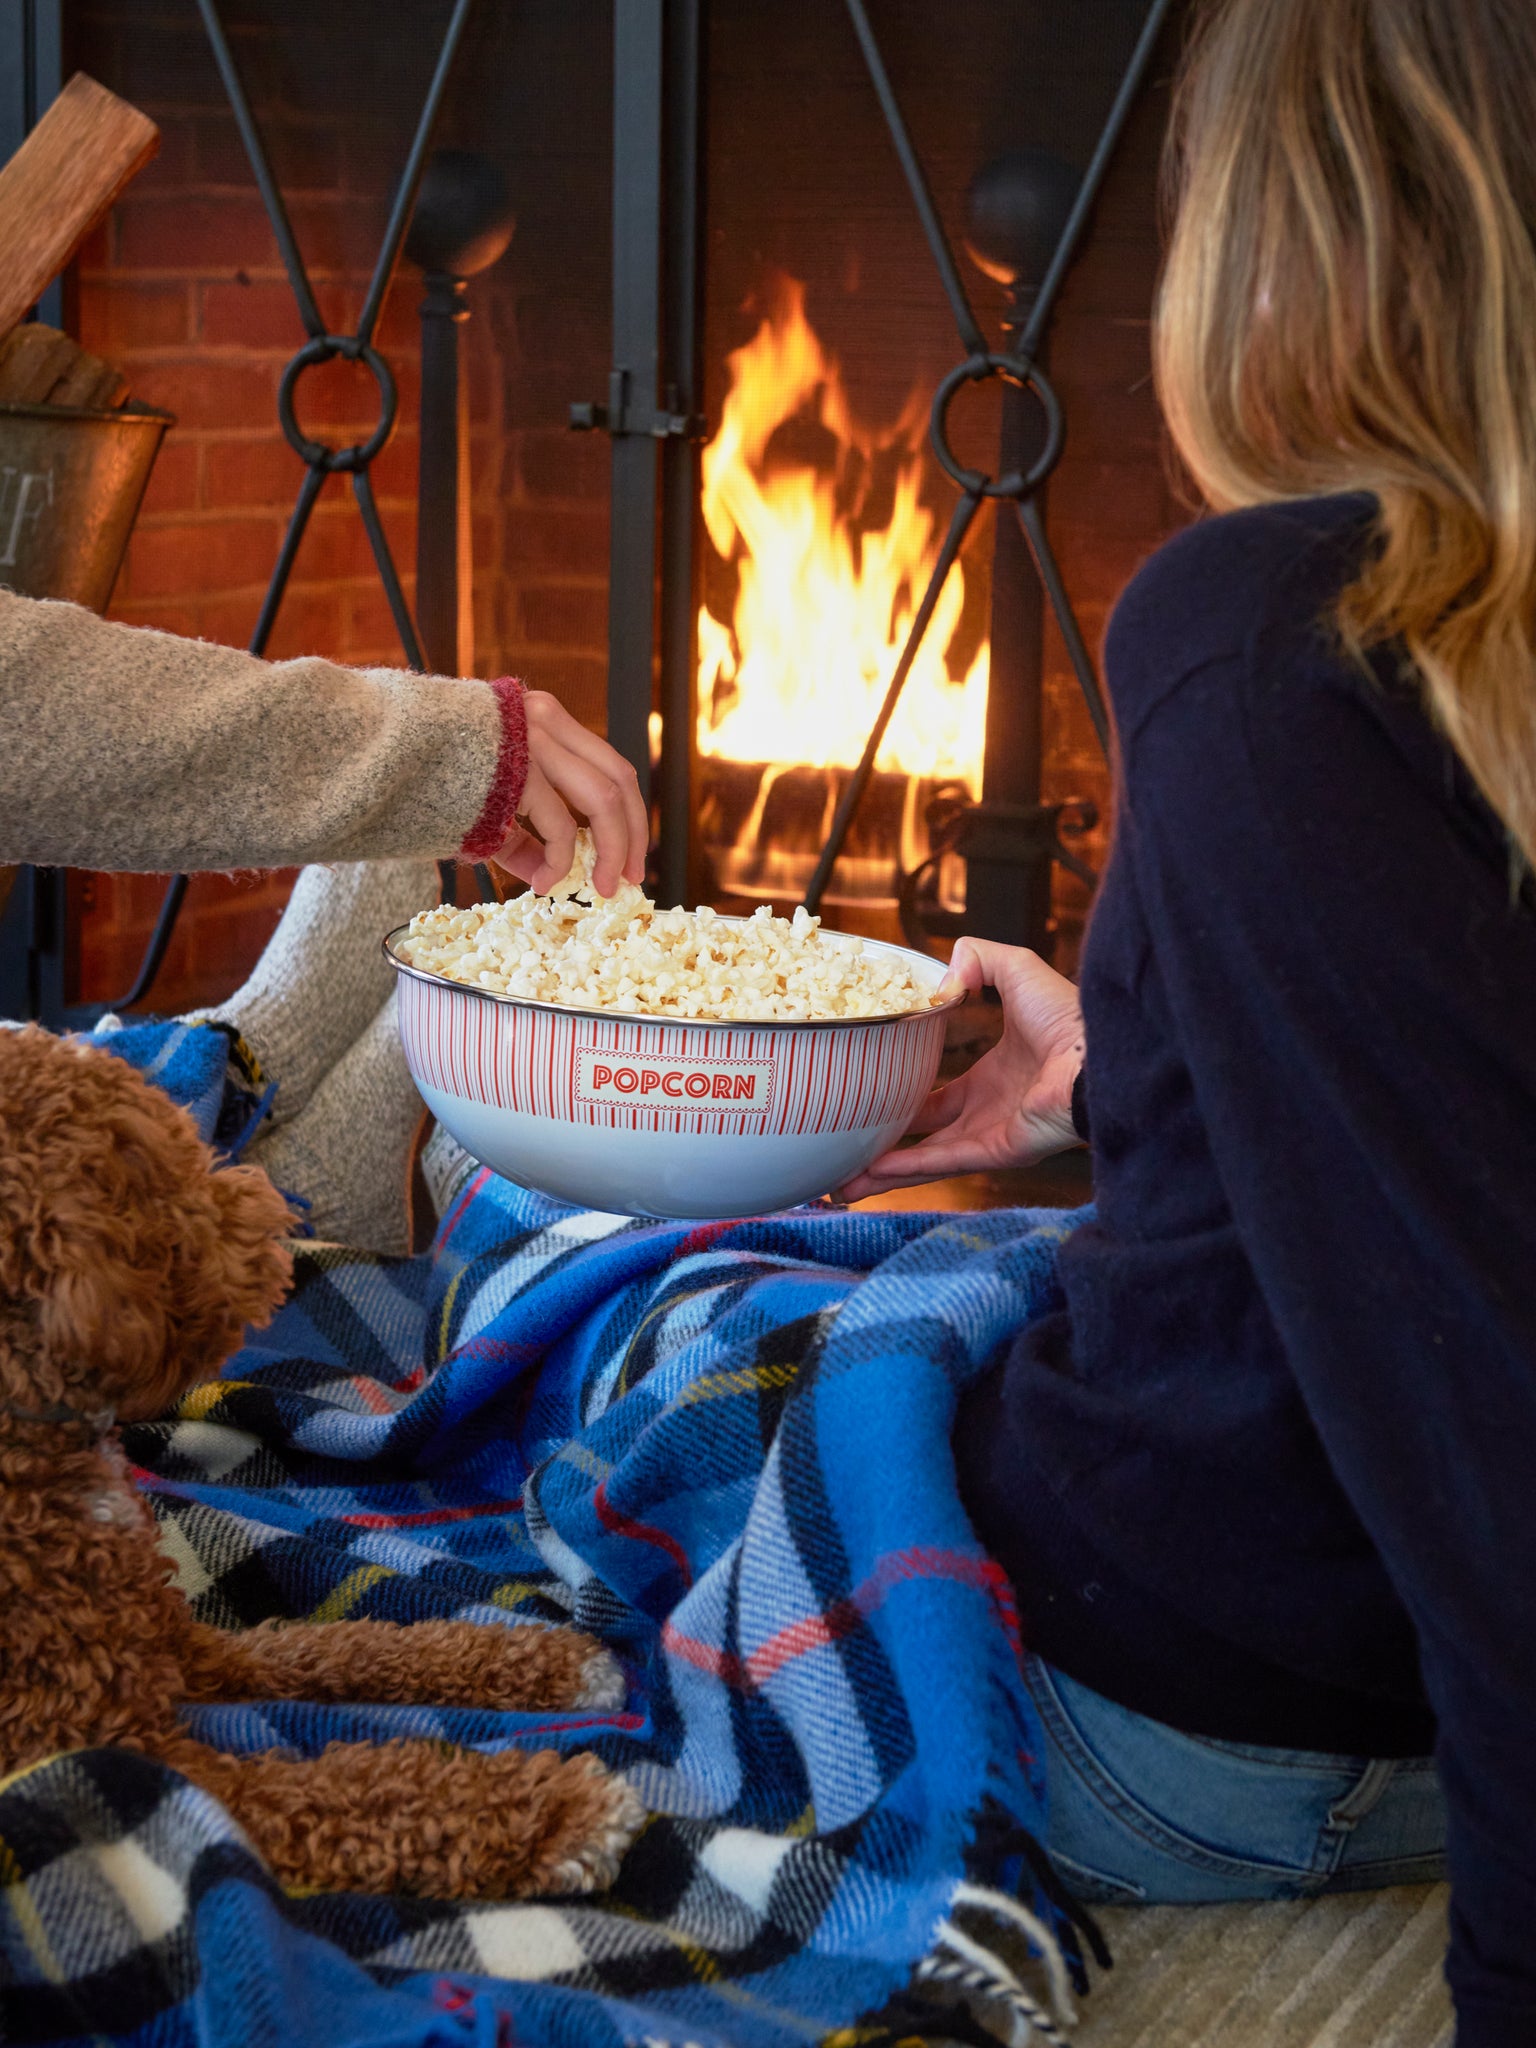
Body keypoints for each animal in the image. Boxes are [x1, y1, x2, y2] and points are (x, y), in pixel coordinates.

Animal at [0, 1032, 647, 1892]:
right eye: (150, 1160)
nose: (266, 1208)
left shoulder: (186, 1645)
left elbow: (338, 1645)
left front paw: (543, 1662)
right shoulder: (128, 1766)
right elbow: (342, 1790)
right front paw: (557, 1815)